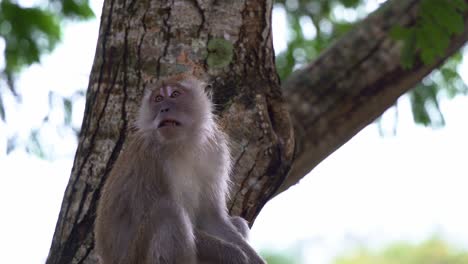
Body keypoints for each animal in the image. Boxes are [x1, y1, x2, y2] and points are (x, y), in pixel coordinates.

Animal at [94, 74, 266, 264]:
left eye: (175, 94)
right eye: (158, 98)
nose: (164, 109)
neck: (183, 144)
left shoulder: (217, 151)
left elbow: (211, 217)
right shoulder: (153, 161)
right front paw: (233, 254)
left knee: (237, 223)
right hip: (135, 257)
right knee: (169, 211)